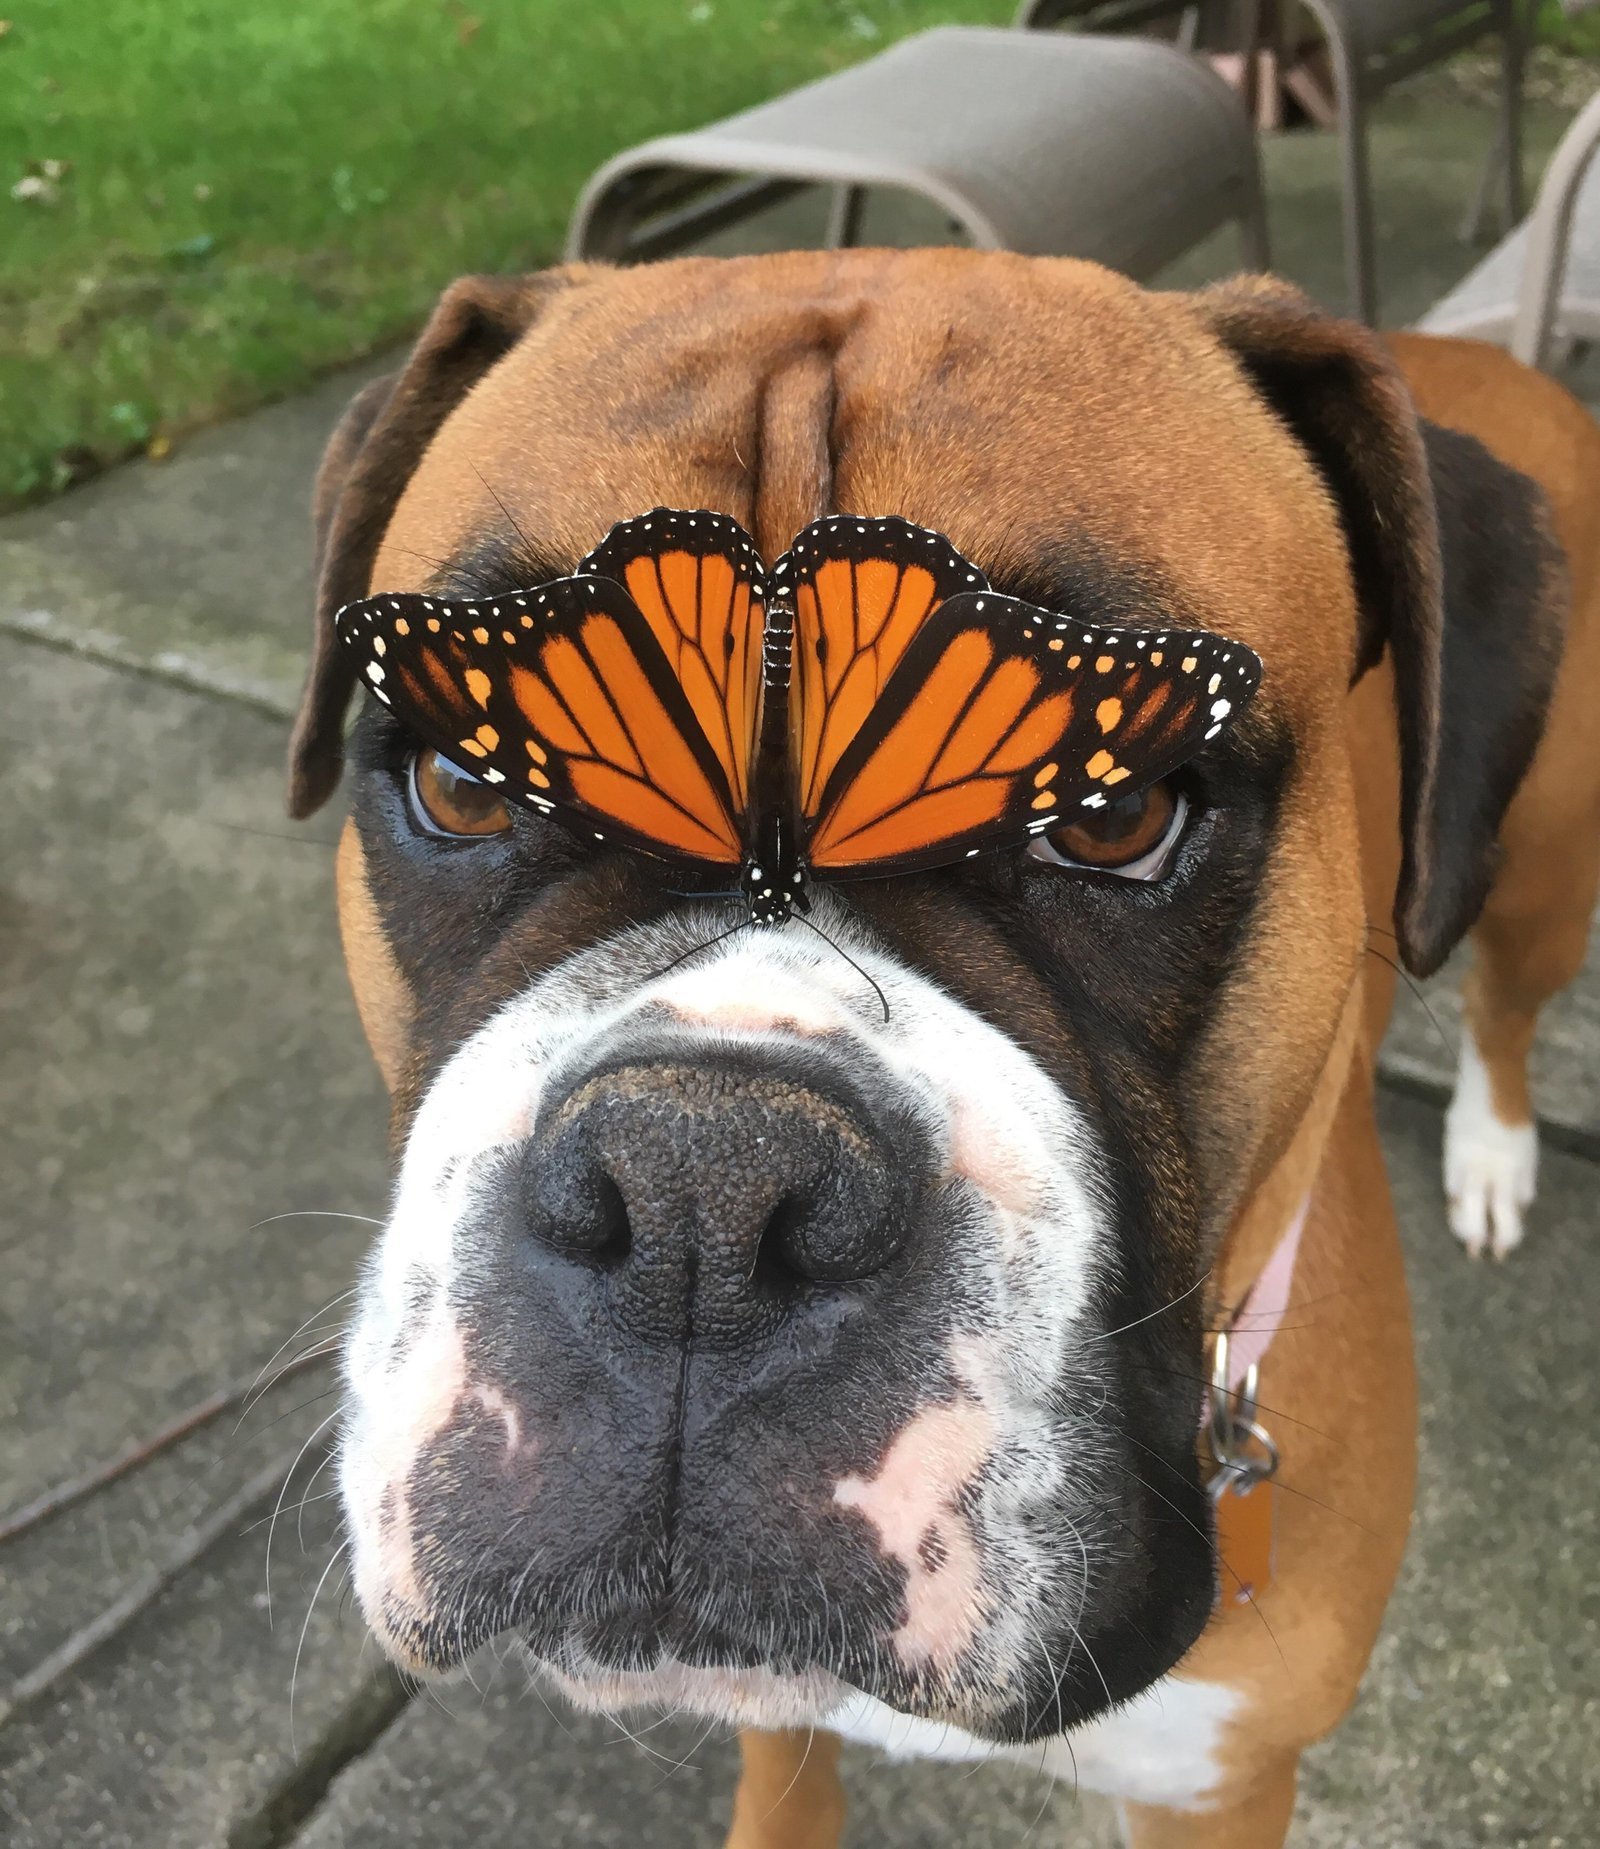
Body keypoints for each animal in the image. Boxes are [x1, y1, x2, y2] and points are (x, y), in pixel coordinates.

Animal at [286, 249, 1598, 1849]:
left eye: (1112, 814)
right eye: (465, 782)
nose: (699, 1188)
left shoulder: (1221, 1783)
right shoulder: (775, 1718)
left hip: (1542, 881)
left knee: (1503, 1004)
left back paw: (1493, 1148)